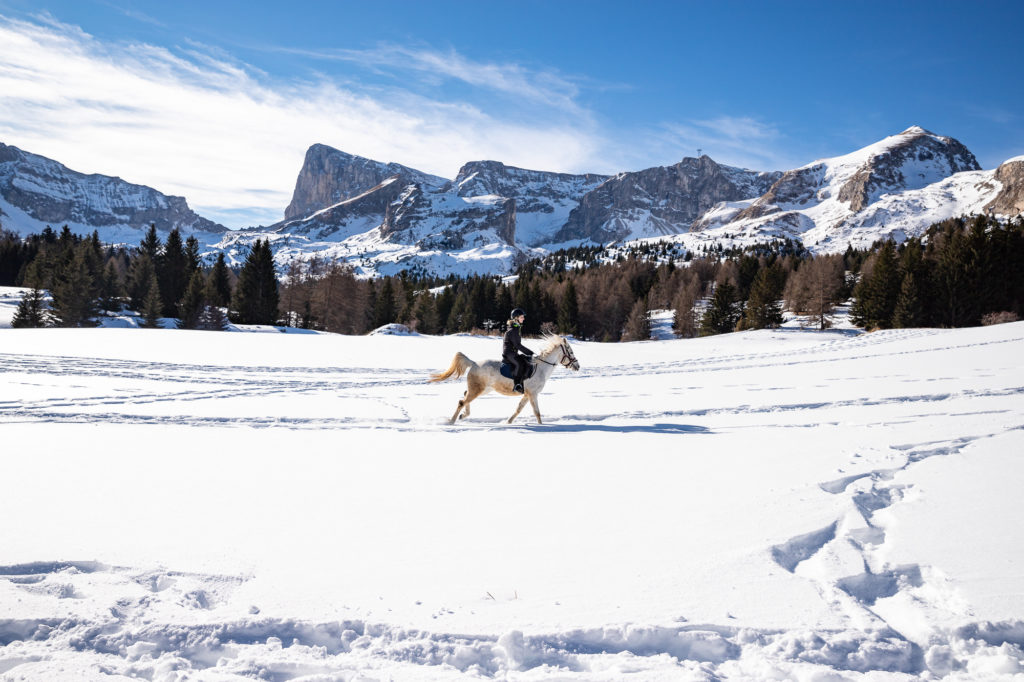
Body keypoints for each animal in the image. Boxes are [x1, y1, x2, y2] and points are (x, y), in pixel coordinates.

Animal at [428, 331, 581, 421]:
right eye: (570, 351)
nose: (577, 366)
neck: (541, 368)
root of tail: (473, 363)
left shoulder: (527, 395)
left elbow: (519, 409)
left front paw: (508, 422)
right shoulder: (533, 394)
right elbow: (537, 412)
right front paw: (541, 426)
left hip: (484, 389)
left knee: (465, 397)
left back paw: (463, 416)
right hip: (478, 389)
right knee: (462, 401)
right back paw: (452, 421)